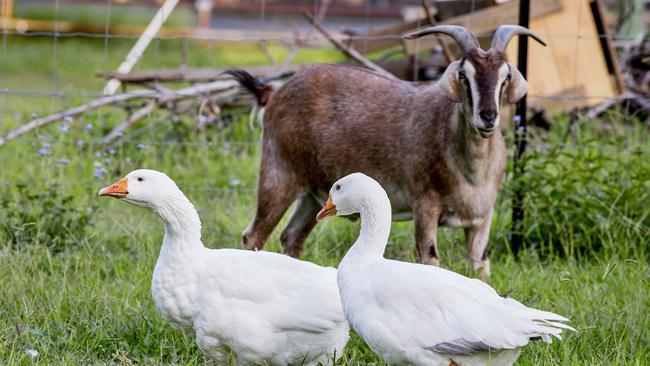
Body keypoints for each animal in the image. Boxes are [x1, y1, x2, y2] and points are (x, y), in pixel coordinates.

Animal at [225, 25, 544, 280]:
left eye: (505, 76)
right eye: (465, 76)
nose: (488, 117)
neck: (469, 170)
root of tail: (273, 92)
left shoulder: (482, 220)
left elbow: (480, 267)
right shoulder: (424, 205)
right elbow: (430, 258)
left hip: (315, 194)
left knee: (291, 236)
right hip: (279, 172)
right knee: (254, 235)